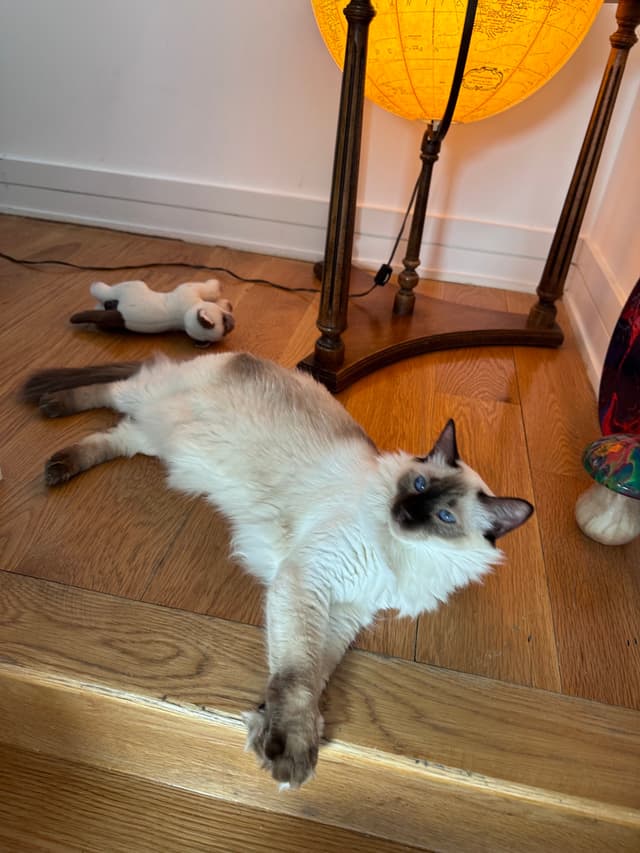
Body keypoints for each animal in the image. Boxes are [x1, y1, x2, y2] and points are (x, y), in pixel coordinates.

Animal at [22, 352, 532, 784]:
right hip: (148, 399)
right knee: (110, 390)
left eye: (444, 517)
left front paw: (267, 730)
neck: (402, 556)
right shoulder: (309, 580)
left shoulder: (344, 610)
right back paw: (50, 409)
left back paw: (59, 464)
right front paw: (292, 751)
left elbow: (313, 671)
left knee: (114, 436)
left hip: (152, 439)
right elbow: (298, 673)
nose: (405, 511)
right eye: (420, 484)